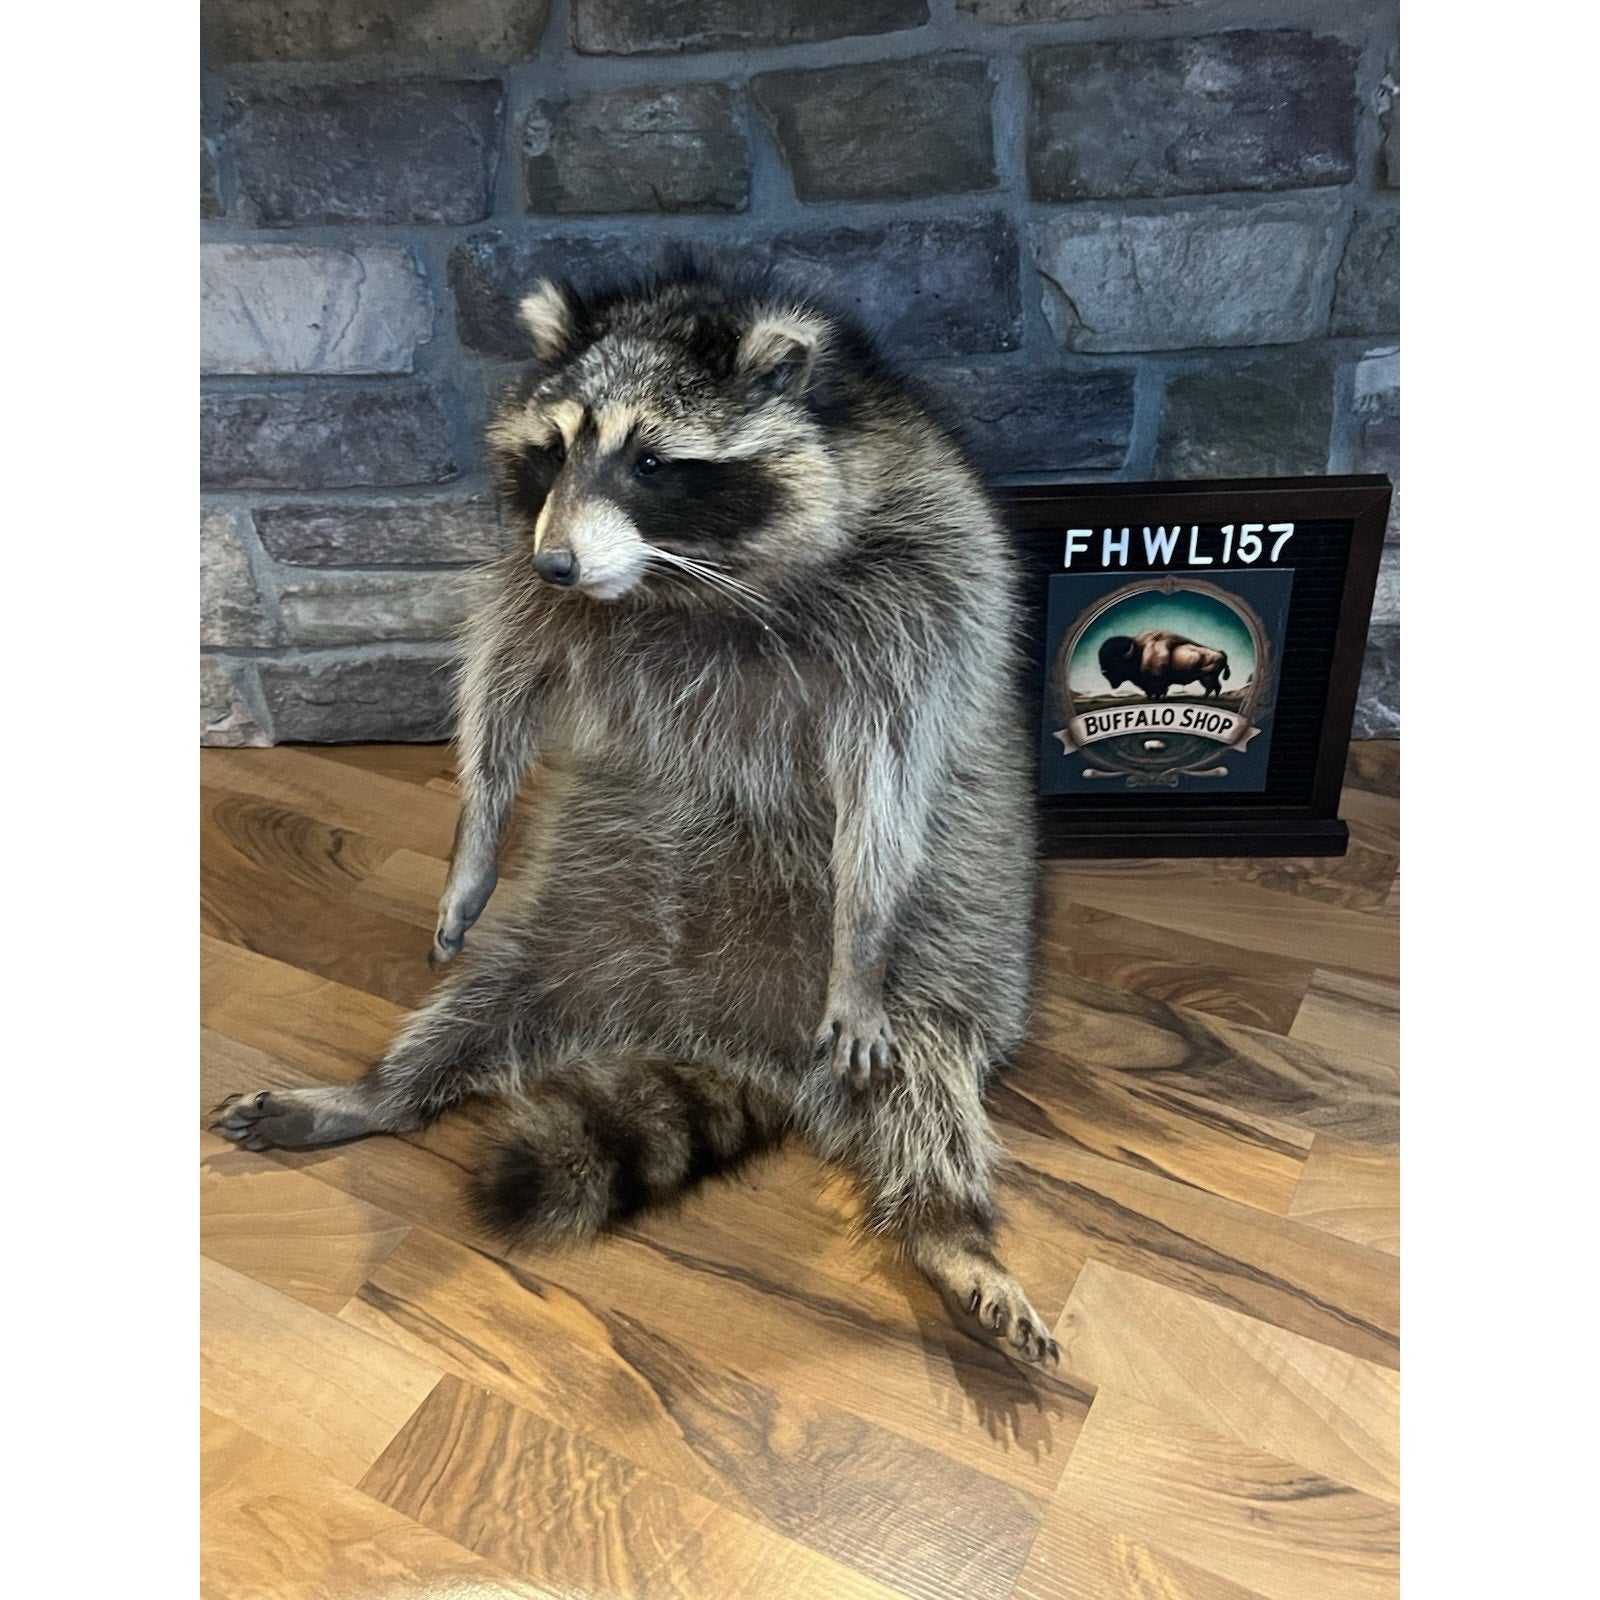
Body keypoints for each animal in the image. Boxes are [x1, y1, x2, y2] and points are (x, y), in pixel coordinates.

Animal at [213, 267, 1056, 1366]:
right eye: (556, 448)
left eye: (652, 461)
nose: (559, 566)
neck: (685, 577)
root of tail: (729, 1043)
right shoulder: (532, 582)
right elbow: (501, 687)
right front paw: (476, 835)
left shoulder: (919, 589)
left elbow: (889, 773)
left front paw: (861, 923)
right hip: (568, 935)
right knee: (475, 1007)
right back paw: (379, 1094)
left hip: (951, 974)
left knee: (933, 1093)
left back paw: (950, 1229)